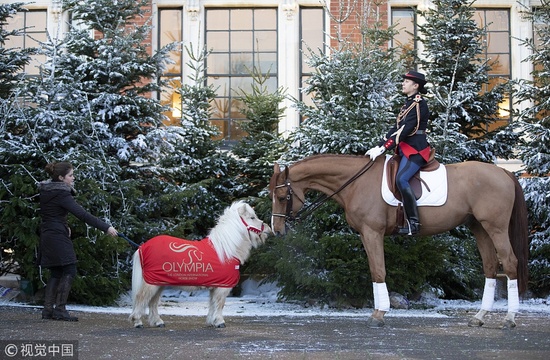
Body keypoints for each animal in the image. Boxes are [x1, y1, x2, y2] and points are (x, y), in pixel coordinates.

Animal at [129, 201, 272, 328]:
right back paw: (137, 322)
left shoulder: (216, 286)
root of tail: (142, 247)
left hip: (158, 283)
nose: (269, 230)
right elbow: (220, 304)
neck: (225, 250)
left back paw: (158, 322)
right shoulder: (222, 287)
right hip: (151, 284)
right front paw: (219, 322)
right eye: (252, 217)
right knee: (141, 299)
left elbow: (212, 304)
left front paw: (211, 322)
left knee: (152, 302)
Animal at [272, 155, 532, 330]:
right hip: (479, 228)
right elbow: (373, 271)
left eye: (283, 197)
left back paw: (509, 318)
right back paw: (479, 317)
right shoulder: (365, 235)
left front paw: (379, 314)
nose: (276, 230)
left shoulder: (373, 232)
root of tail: (504, 173)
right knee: (490, 267)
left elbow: (379, 270)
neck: (356, 182)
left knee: (509, 263)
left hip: (496, 228)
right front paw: (377, 311)